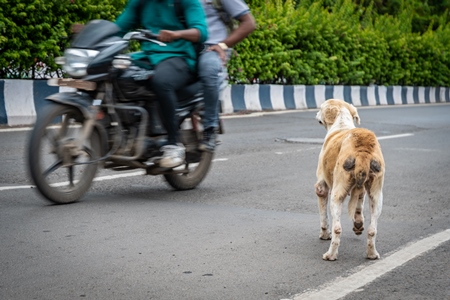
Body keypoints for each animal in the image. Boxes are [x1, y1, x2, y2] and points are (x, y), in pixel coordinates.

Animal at [314, 99, 384, 260]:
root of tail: (363, 151)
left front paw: (324, 234)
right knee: (372, 229)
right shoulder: (361, 189)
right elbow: (359, 203)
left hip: (336, 194)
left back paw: (331, 254)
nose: (315, 113)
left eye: (321, 108)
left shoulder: (322, 186)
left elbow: (323, 216)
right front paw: (358, 224)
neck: (341, 124)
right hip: (377, 195)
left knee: (337, 228)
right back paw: (372, 254)